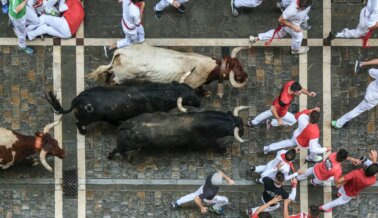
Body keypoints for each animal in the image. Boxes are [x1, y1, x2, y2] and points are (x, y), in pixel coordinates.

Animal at [44, 81, 201, 134]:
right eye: (188, 98)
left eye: (190, 88)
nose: (200, 102)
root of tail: (77, 100)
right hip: (86, 119)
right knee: (78, 123)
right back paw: (83, 132)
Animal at [87, 43, 250, 96]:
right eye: (239, 70)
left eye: (241, 65)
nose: (246, 76)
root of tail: (121, 52)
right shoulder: (191, 84)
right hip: (122, 77)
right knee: (114, 79)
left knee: (108, 71)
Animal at [108, 107, 250, 158]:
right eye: (240, 129)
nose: (243, 133)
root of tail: (127, 124)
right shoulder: (206, 142)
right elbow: (215, 146)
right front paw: (223, 150)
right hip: (127, 145)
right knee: (118, 149)